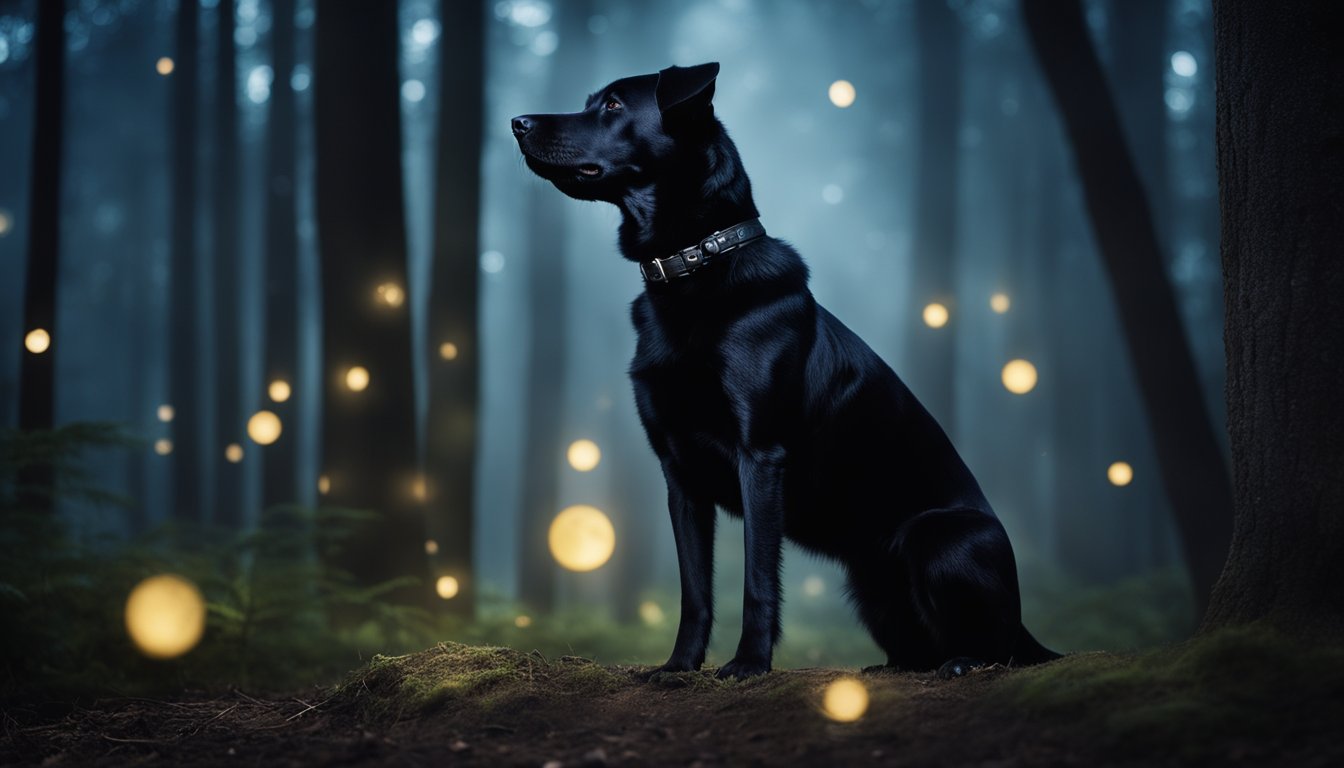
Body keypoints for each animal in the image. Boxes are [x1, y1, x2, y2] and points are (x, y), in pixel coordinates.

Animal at [513, 64, 1059, 677]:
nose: (517, 122)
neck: (693, 265)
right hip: (870, 581)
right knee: (918, 647)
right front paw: (679, 668)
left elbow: (757, 579)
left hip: (938, 537)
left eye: (611, 105)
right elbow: (694, 590)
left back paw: (966, 662)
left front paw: (748, 664)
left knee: (1001, 645)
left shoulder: (761, 458)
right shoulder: (680, 476)